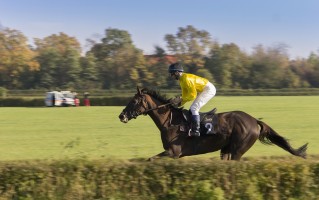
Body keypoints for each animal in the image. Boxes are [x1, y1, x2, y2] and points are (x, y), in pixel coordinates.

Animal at [119, 86, 308, 160]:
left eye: (134, 101)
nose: (121, 116)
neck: (170, 121)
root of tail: (254, 120)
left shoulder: (173, 152)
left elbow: (150, 159)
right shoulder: (174, 154)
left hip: (238, 150)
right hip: (226, 149)